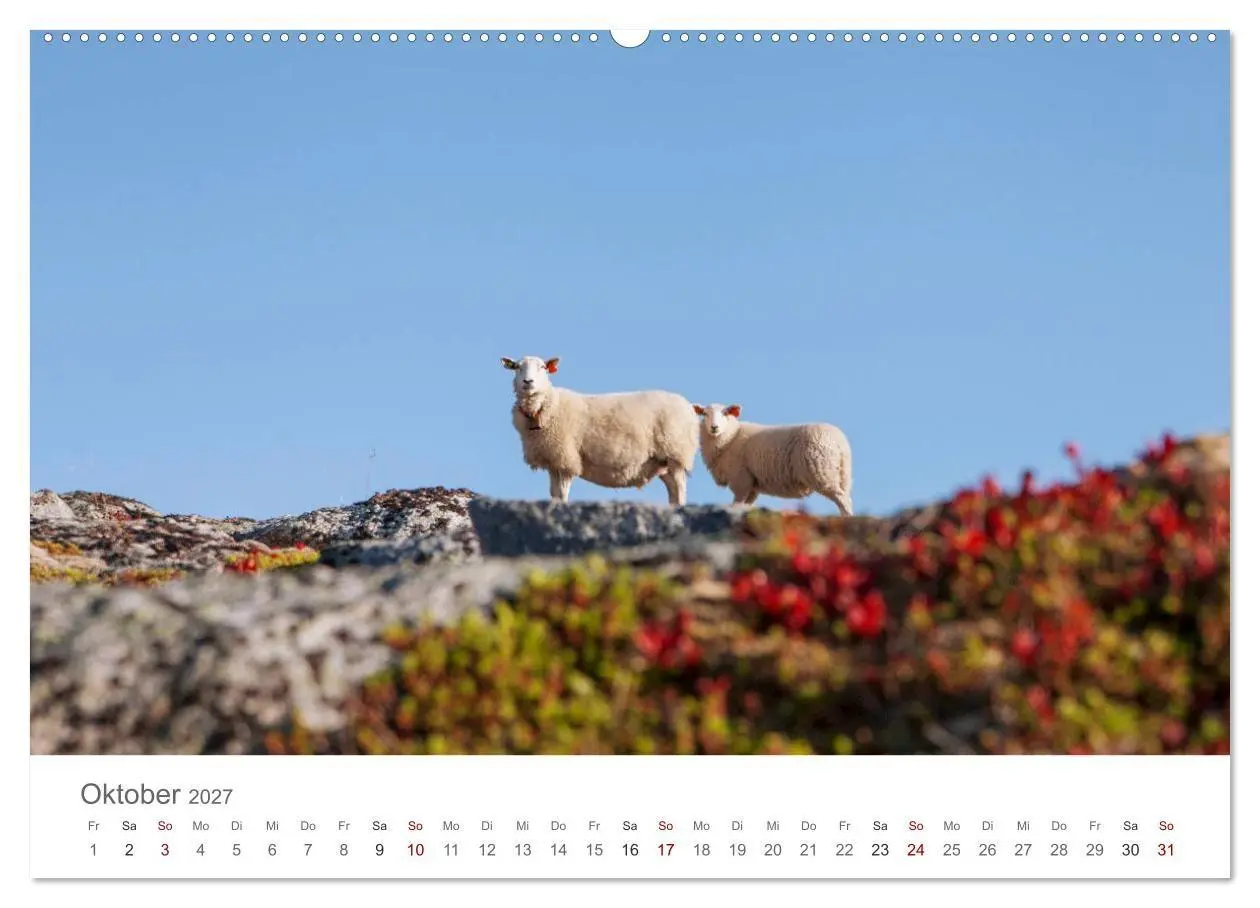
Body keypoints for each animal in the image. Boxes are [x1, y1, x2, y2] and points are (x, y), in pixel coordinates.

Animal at [501, 355, 699, 505]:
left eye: (542, 367)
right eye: (517, 367)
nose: (528, 382)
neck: (545, 407)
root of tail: (689, 406)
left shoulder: (566, 458)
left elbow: (562, 493)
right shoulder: (553, 460)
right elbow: (554, 493)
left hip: (676, 453)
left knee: (679, 489)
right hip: (662, 461)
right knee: (672, 490)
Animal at [693, 403, 854, 515]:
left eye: (725, 413)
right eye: (705, 414)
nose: (714, 427)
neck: (731, 437)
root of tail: (840, 442)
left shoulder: (741, 480)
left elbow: (737, 504)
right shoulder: (751, 485)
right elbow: (746, 506)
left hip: (821, 471)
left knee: (843, 500)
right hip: (842, 475)